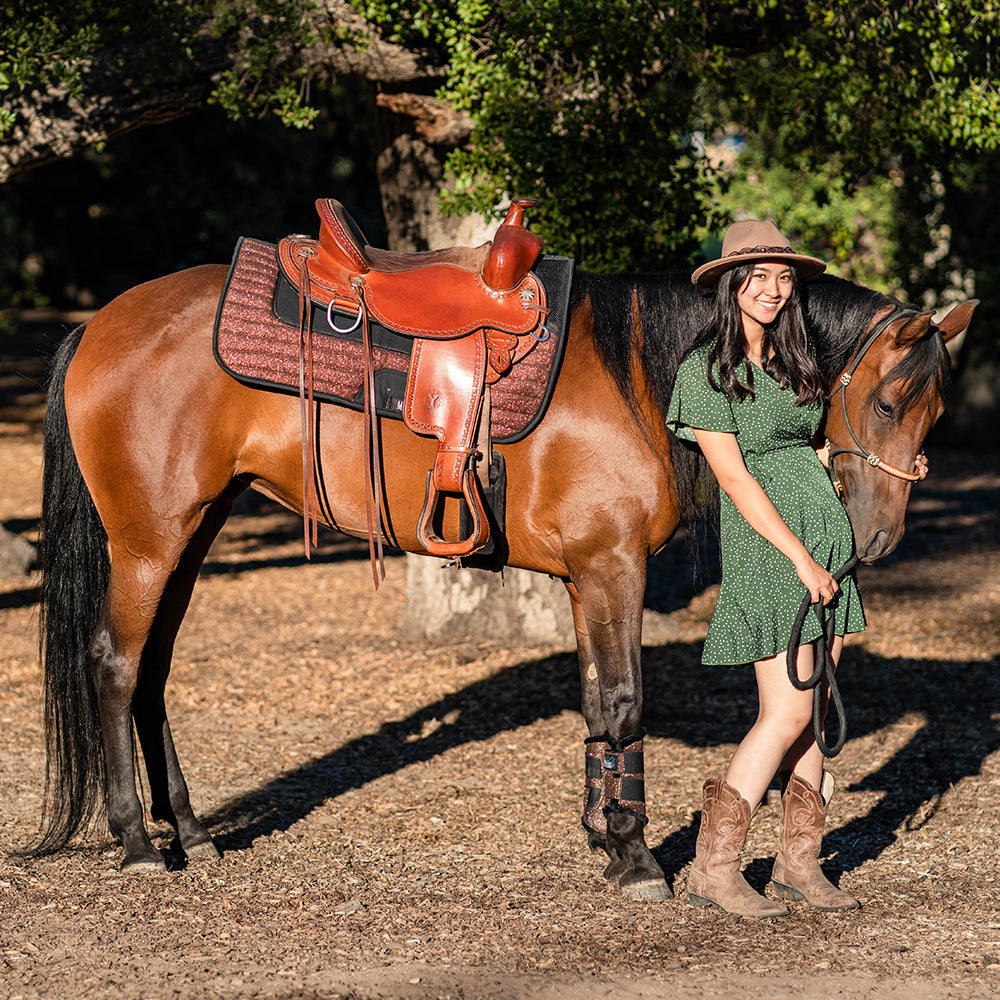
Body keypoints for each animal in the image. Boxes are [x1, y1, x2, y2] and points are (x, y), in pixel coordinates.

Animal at [33, 262, 976, 904]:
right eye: (888, 404)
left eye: (936, 414)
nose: (878, 538)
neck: (642, 376)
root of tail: (98, 325)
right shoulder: (613, 568)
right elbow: (625, 703)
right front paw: (637, 857)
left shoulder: (588, 578)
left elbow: (597, 706)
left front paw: (604, 840)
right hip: (150, 542)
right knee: (115, 666)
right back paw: (138, 842)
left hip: (192, 533)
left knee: (152, 675)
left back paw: (192, 832)